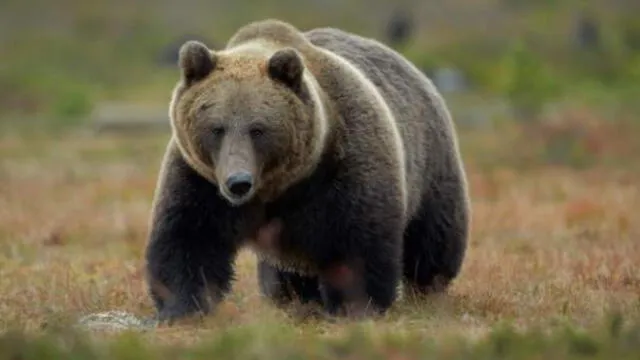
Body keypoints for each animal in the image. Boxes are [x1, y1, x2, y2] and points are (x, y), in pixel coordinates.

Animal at [145, 18, 470, 322]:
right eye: (216, 128)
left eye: (258, 129)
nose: (238, 182)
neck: (279, 185)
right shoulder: (201, 180)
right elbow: (189, 238)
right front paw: (181, 308)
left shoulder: (343, 167)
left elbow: (356, 244)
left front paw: (356, 307)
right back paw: (293, 296)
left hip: (431, 163)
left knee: (433, 238)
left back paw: (428, 288)